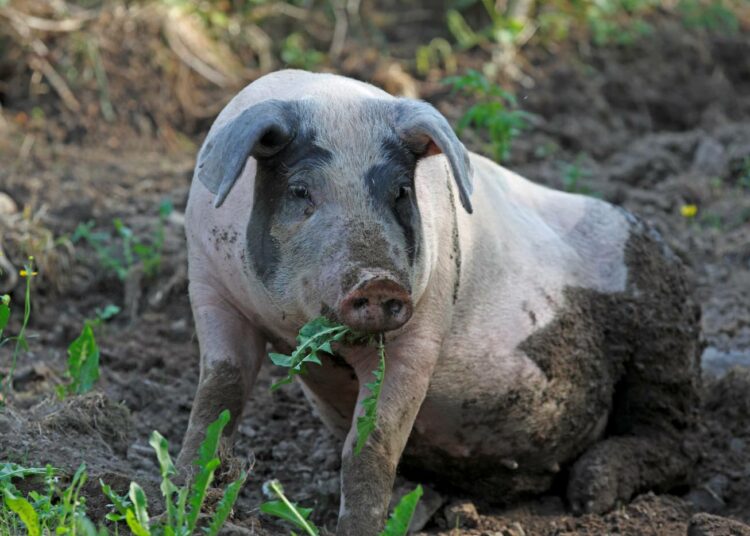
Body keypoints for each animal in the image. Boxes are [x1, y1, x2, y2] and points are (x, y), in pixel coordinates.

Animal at [179, 69, 704, 532]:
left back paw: (590, 493)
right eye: (300, 190)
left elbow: (371, 447)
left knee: (672, 442)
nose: (378, 282)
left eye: (400, 191)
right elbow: (216, 398)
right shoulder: (209, 287)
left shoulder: (421, 329)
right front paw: (185, 497)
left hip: (663, 335)